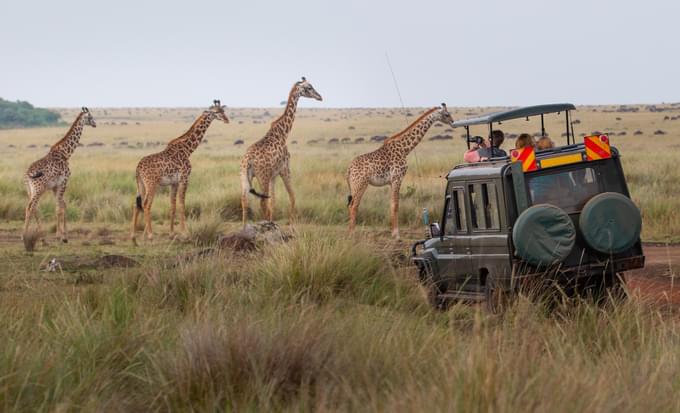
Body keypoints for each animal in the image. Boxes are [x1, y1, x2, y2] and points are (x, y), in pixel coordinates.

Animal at [22, 107, 96, 241]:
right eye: (90, 116)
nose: (95, 124)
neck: (65, 153)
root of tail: (27, 175)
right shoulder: (63, 182)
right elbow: (59, 208)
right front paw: (60, 236)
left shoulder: (55, 186)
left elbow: (61, 205)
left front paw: (63, 234)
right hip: (38, 189)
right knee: (31, 208)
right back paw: (24, 236)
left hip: (30, 190)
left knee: (32, 208)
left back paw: (42, 238)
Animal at [130, 100, 228, 243]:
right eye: (215, 112)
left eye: (223, 111)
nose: (227, 120)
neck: (188, 150)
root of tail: (138, 168)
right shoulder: (184, 179)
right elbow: (182, 204)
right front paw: (185, 233)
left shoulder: (174, 182)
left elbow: (173, 206)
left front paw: (172, 234)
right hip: (151, 184)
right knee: (146, 204)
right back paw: (150, 235)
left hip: (141, 184)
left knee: (137, 205)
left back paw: (133, 237)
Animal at [240, 77, 322, 225]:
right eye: (309, 87)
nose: (320, 97)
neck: (283, 133)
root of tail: (247, 160)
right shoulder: (285, 169)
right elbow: (292, 196)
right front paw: (291, 224)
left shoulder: (273, 175)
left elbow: (273, 201)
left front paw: (273, 222)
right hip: (262, 177)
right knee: (262, 202)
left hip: (244, 177)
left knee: (245, 201)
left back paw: (245, 228)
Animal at [348, 102, 454, 238]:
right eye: (446, 114)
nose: (452, 121)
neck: (405, 149)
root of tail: (349, 169)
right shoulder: (397, 178)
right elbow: (396, 205)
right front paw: (396, 234)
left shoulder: (391, 181)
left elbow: (392, 204)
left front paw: (394, 232)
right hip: (360, 184)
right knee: (354, 205)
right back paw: (352, 233)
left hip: (354, 185)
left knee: (351, 205)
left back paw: (350, 231)